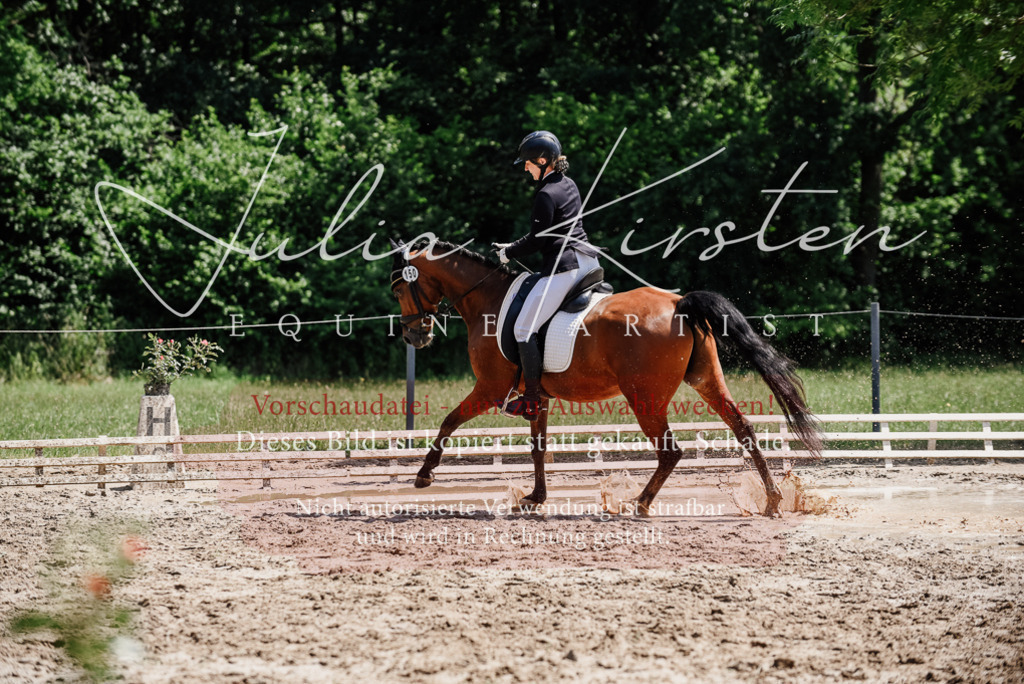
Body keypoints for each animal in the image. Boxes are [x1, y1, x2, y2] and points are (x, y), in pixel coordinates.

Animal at [388, 238, 823, 517]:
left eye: (398, 289)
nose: (414, 336)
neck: (489, 300)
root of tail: (678, 303)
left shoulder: (491, 388)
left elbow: (449, 421)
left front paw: (424, 475)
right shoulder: (537, 395)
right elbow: (538, 447)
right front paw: (535, 497)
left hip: (644, 397)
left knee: (670, 450)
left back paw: (640, 504)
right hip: (706, 381)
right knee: (743, 427)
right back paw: (771, 502)